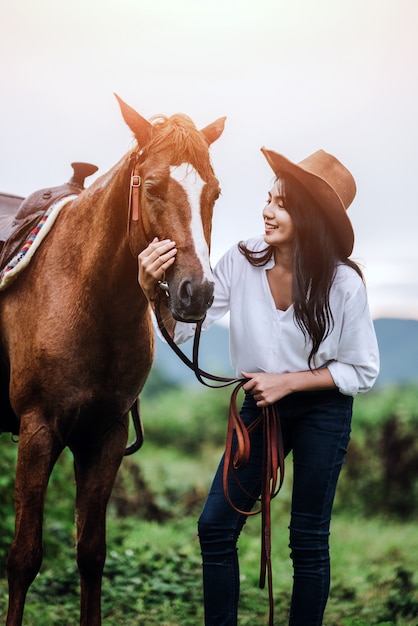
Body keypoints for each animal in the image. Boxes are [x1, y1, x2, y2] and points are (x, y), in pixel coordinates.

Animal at [0, 94, 225, 624]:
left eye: (214, 192)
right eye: (155, 185)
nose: (198, 292)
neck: (87, 293)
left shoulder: (105, 436)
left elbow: (91, 553)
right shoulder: (37, 432)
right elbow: (23, 557)